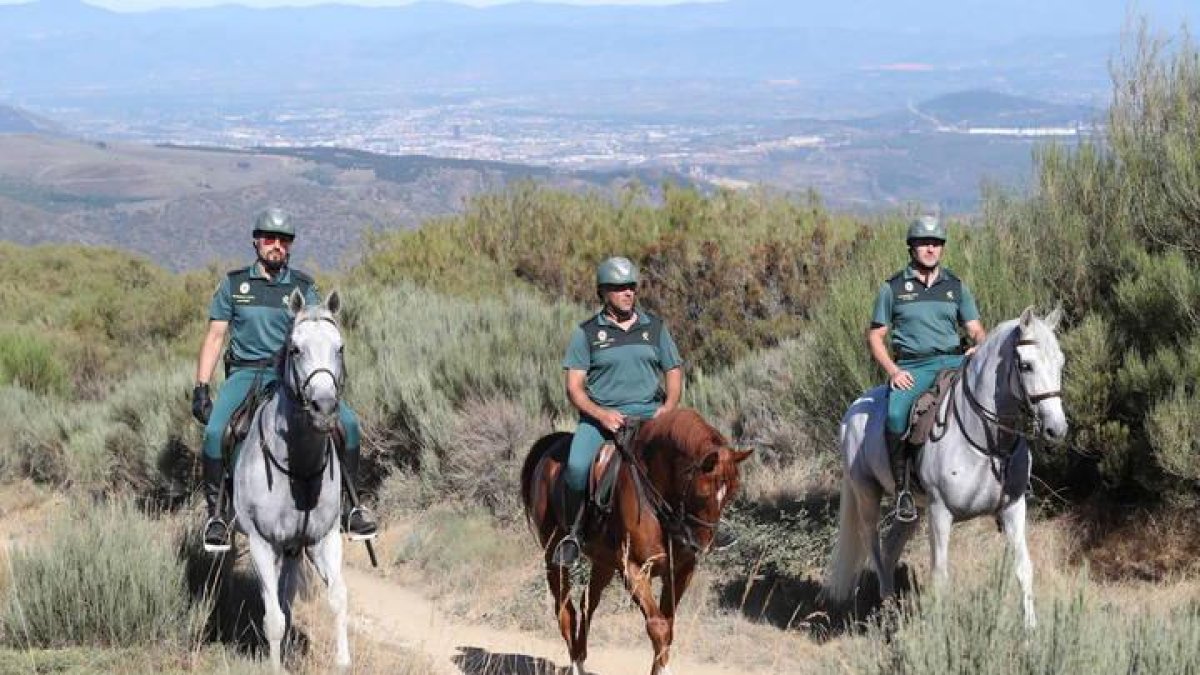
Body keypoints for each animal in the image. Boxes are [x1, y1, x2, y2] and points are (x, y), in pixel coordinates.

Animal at [231, 288, 350, 667]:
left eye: (340, 347)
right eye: (296, 349)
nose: (324, 408)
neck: (298, 468)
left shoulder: (324, 538)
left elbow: (337, 598)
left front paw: (343, 663)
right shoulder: (261, 544)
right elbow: (273, 619)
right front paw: (275, 666)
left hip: (295, 549)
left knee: (287, 596)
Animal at [523, 403, 753, 672]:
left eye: (732, 493)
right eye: (702, 492)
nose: (701, 545)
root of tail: (553, 445)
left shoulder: (680, 570)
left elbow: (668, 627)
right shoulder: (634, 568)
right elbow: (658, 626)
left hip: (603, 562)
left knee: (587, 602)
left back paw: (580, 656)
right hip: (553, 556)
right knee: (565, 610)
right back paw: (577, 664)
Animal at [825, 306, 1070, 624]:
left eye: (1060, 362)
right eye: (1026, 365)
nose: (1057, 429)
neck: (986, 441)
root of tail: (853, 409)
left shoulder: (1014, 507)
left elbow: (1023, 568)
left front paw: (1030, 631)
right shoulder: (940, 512)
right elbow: (940, 577)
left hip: (913, 510)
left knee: (890, 549)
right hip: (866, 493)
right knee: (873, 544)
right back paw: (888, 607)